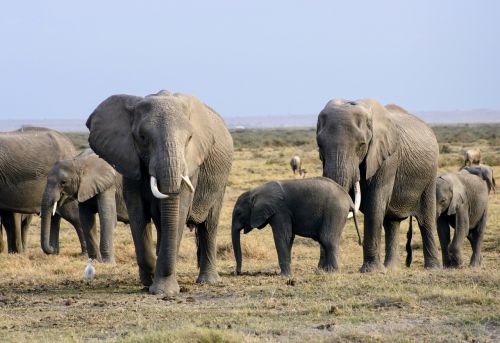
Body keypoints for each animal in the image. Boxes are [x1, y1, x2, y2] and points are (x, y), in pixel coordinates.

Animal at [86, 90, 234, 296]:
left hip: (221, 179)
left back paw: (208, 281)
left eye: (190, 138)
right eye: (143, 137)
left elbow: (179, 209)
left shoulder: (191, 163)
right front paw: (148, 280)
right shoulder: (129, 161)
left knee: (209, 224)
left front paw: (163, 290)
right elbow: (138, 213)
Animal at [232, 177, 362, 276]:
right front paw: (286, 274)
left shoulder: (280, 211)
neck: (255, 192)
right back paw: (325, 271)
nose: (238, 272)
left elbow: (282, 236)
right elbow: (289, 238)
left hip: (334, 212)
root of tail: (349, 200)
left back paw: (332, 272)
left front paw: (284, 276)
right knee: (325, 241)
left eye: (239, 213)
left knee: (327, 240)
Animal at [316, 99, 442, 272]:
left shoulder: (387, 157)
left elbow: (375, 205)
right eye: (320, 145)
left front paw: (371, 271)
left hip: (430, 175)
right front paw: (323, 270)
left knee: (426, 220)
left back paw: (432, 268)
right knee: (392, 223)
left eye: (361, 145)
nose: (326, 268)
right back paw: (392, 269)